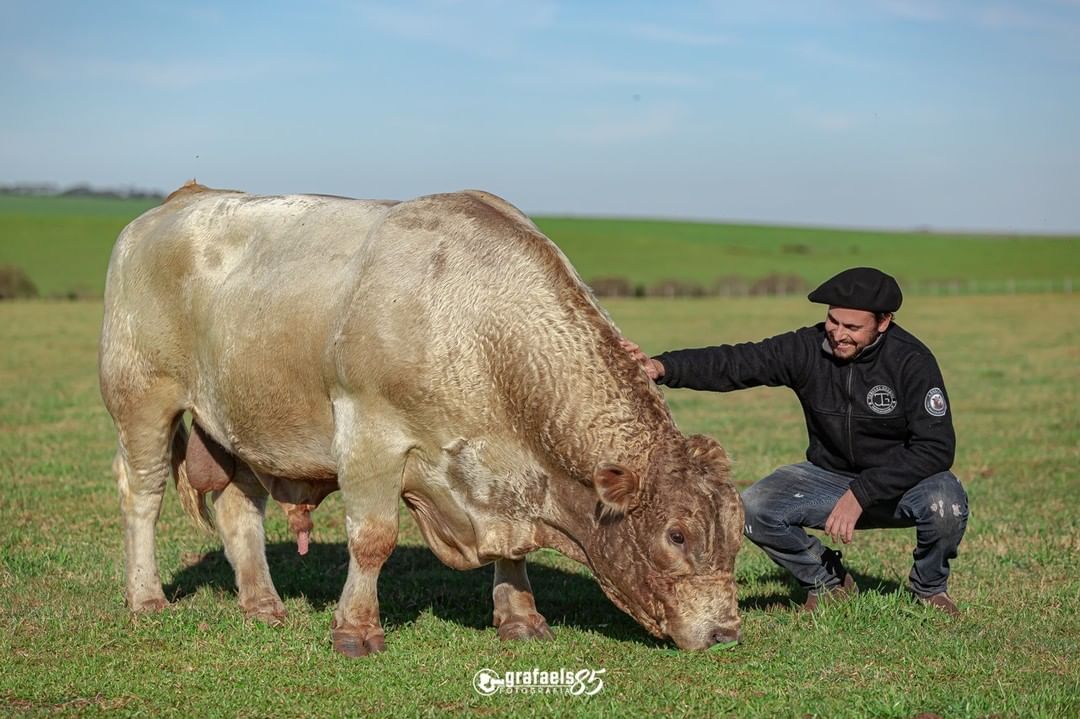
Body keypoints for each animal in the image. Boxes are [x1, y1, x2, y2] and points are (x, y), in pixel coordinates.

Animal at [99, 182, 743, 652]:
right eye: (676, 534)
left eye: (738, 533)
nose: (724, 632)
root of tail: (181, 198)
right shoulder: (370, 435)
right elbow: (373, 539)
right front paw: (356, 630)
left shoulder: (505, 476)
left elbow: (513, 554)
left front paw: (520, 618)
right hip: (142, 400)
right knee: (143, 496)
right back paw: (147, 597)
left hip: (244, 425)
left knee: (239, 512)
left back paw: (263, 605)